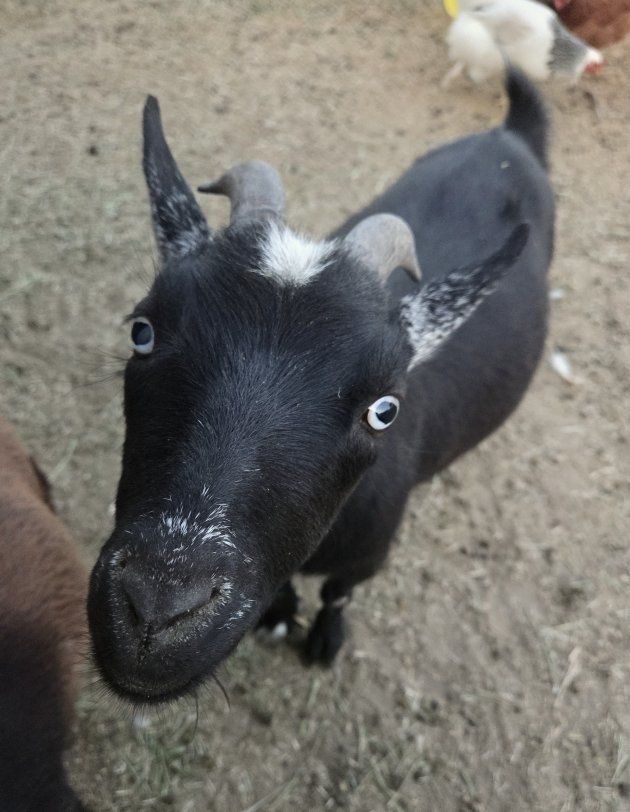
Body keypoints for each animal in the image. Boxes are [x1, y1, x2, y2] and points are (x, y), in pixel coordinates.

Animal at [87, 70, 554, 703]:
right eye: (142, 331)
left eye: (384, 410)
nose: (157, 612)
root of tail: (511, 135)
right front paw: (281, 615)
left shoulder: (368, 554)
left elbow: (338, 592)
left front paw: (324, 638)